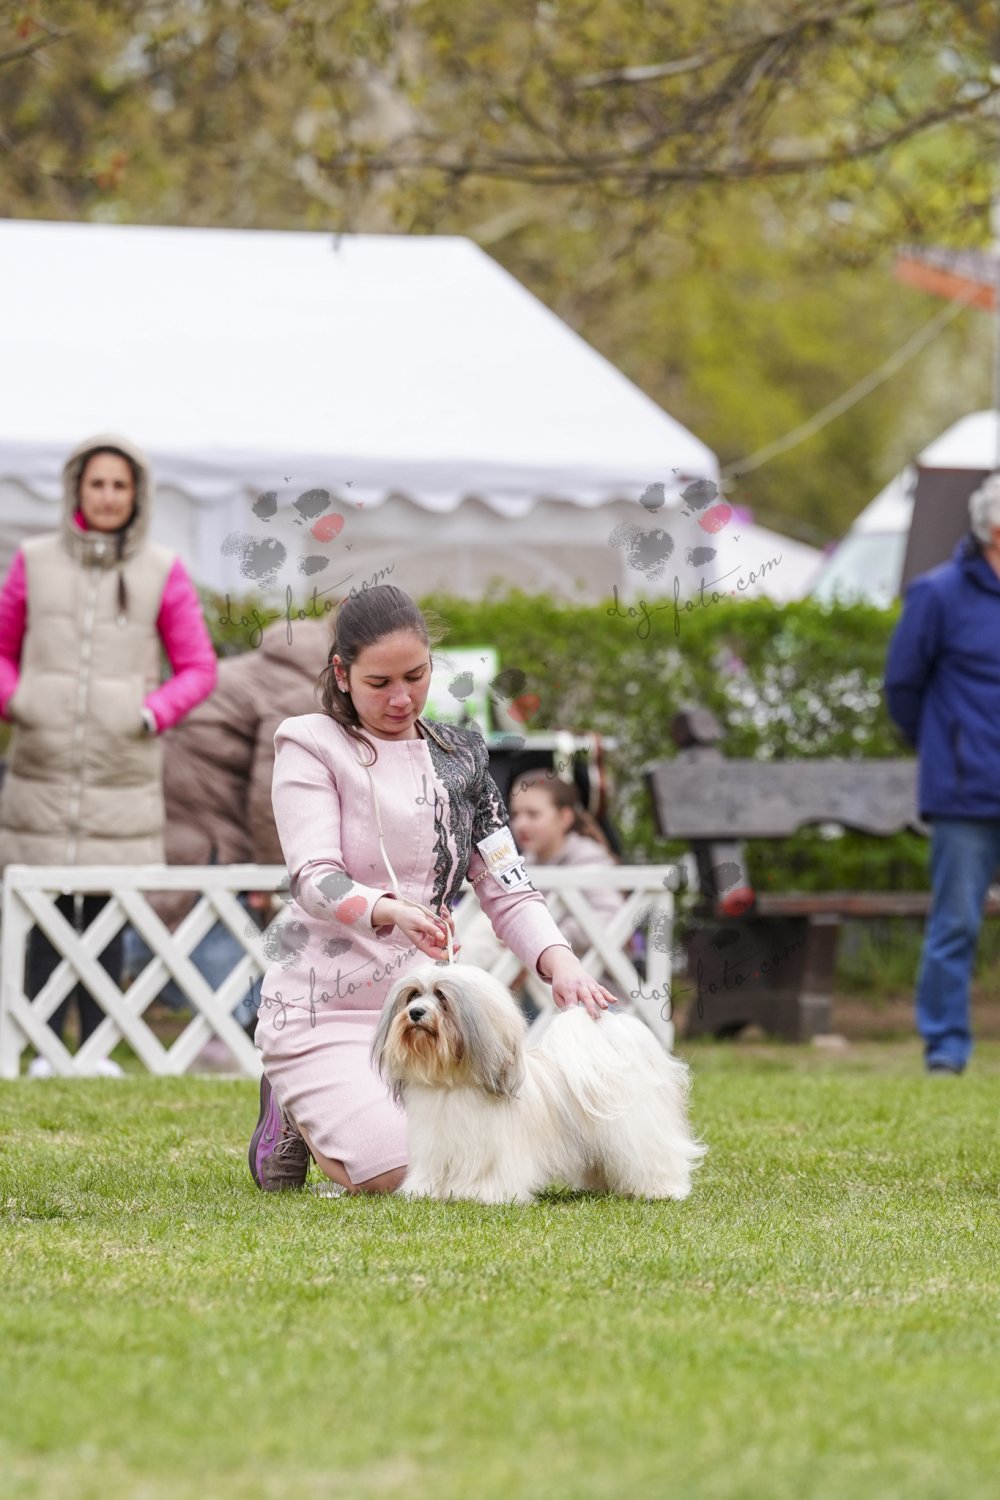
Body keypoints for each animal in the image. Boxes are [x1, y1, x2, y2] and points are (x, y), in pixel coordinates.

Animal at [372, 963, 706, 1204]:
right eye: (413, 995)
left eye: (442, 997)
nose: (415, 1013)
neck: (452, 1084)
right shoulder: (434, 1147)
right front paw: (424, 1192)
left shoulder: (497, 1150)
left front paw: (485, 1195)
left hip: (639, 1133)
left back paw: (663, 1190)